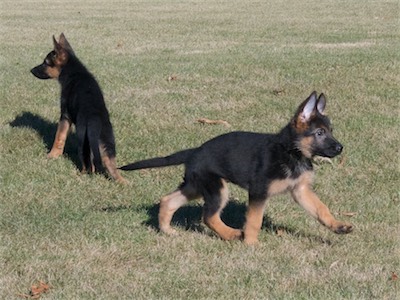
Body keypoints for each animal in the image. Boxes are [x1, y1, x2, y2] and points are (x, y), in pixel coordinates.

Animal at [30, 32, 125, 183]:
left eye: (45, 62)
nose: (31, 70)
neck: (73, 71)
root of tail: (94, 121)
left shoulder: (65, 116)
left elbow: (59, 137)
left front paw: (52, 155)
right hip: (107, 142)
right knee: (109, 165)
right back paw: (123, 181)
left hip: (83, 141)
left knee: (88, 165)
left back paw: (80, 175)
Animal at [119, 91, 354, 244]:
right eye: (320, 133)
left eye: (330, 130)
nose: (340, 148)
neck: (291, 152)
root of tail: (195, 150)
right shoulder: (259, 191)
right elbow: (254, 220)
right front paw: (251, 244)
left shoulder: (300, 190)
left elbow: (321, 209)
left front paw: (338, 226)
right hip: (216, 188)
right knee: (208, 217)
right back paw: (232, 234)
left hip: (196, 185)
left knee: (168, 200)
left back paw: (167, 231)